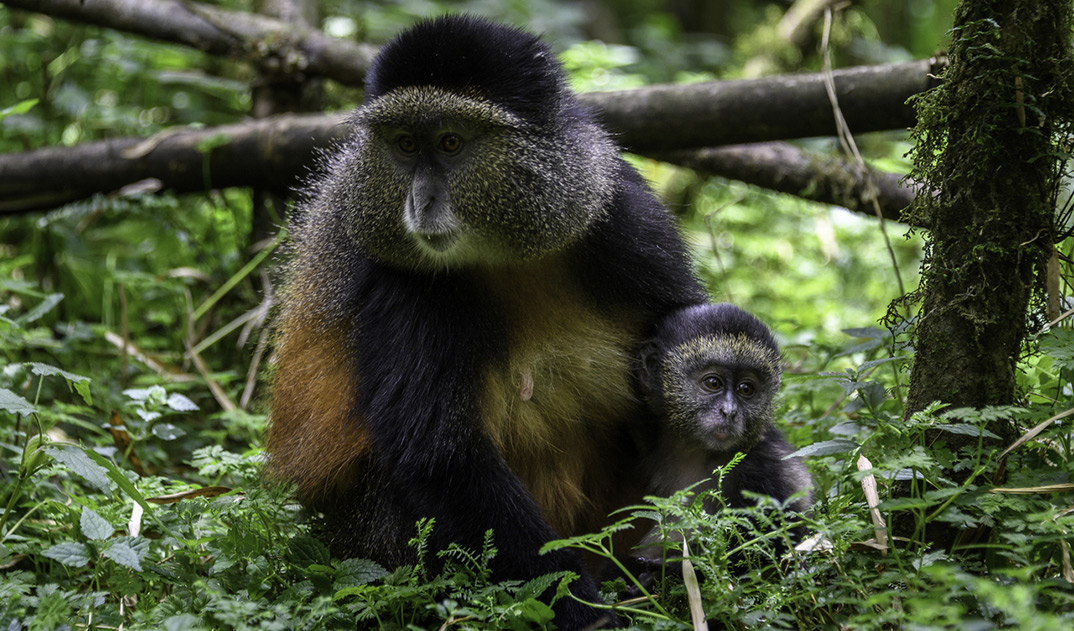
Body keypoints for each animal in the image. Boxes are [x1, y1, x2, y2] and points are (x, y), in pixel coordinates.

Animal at [265, 15, 707, 630]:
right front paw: (583, 608)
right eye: (405, 144)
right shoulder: (404, 284)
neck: (507, 251)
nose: (420, 203)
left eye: (451, 142)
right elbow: (439, 455)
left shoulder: (623, 217)